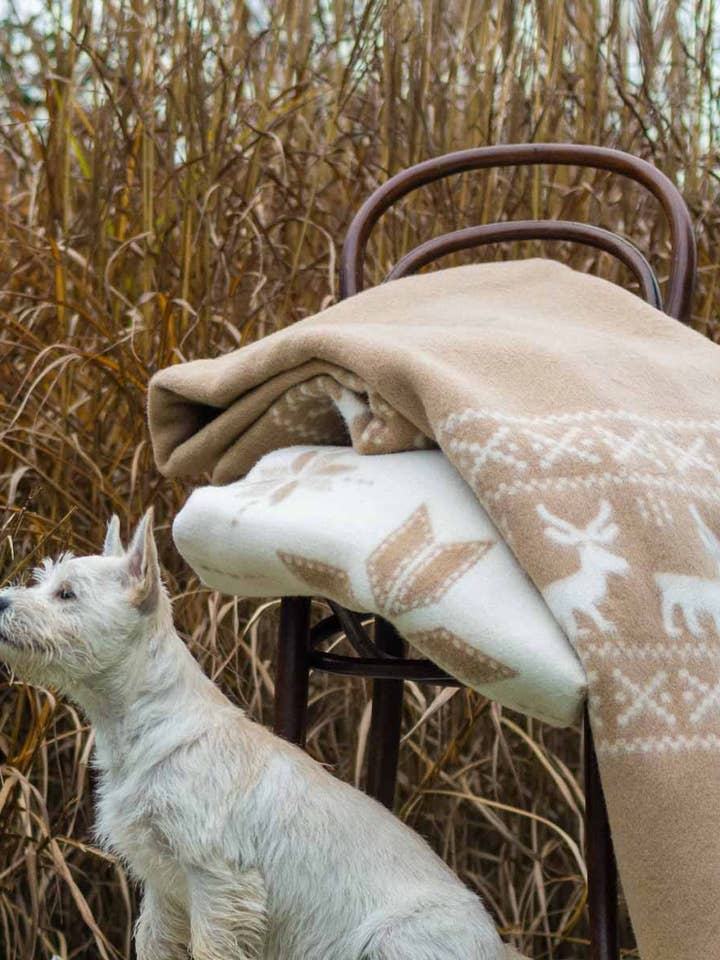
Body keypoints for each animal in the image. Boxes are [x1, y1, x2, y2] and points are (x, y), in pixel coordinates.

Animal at [536, 499, 629, 642]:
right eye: (598, 551)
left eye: (600, 546)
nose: (624, 564)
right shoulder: (581, 603)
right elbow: (594, 614)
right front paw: (607, 627)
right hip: (564, 609)